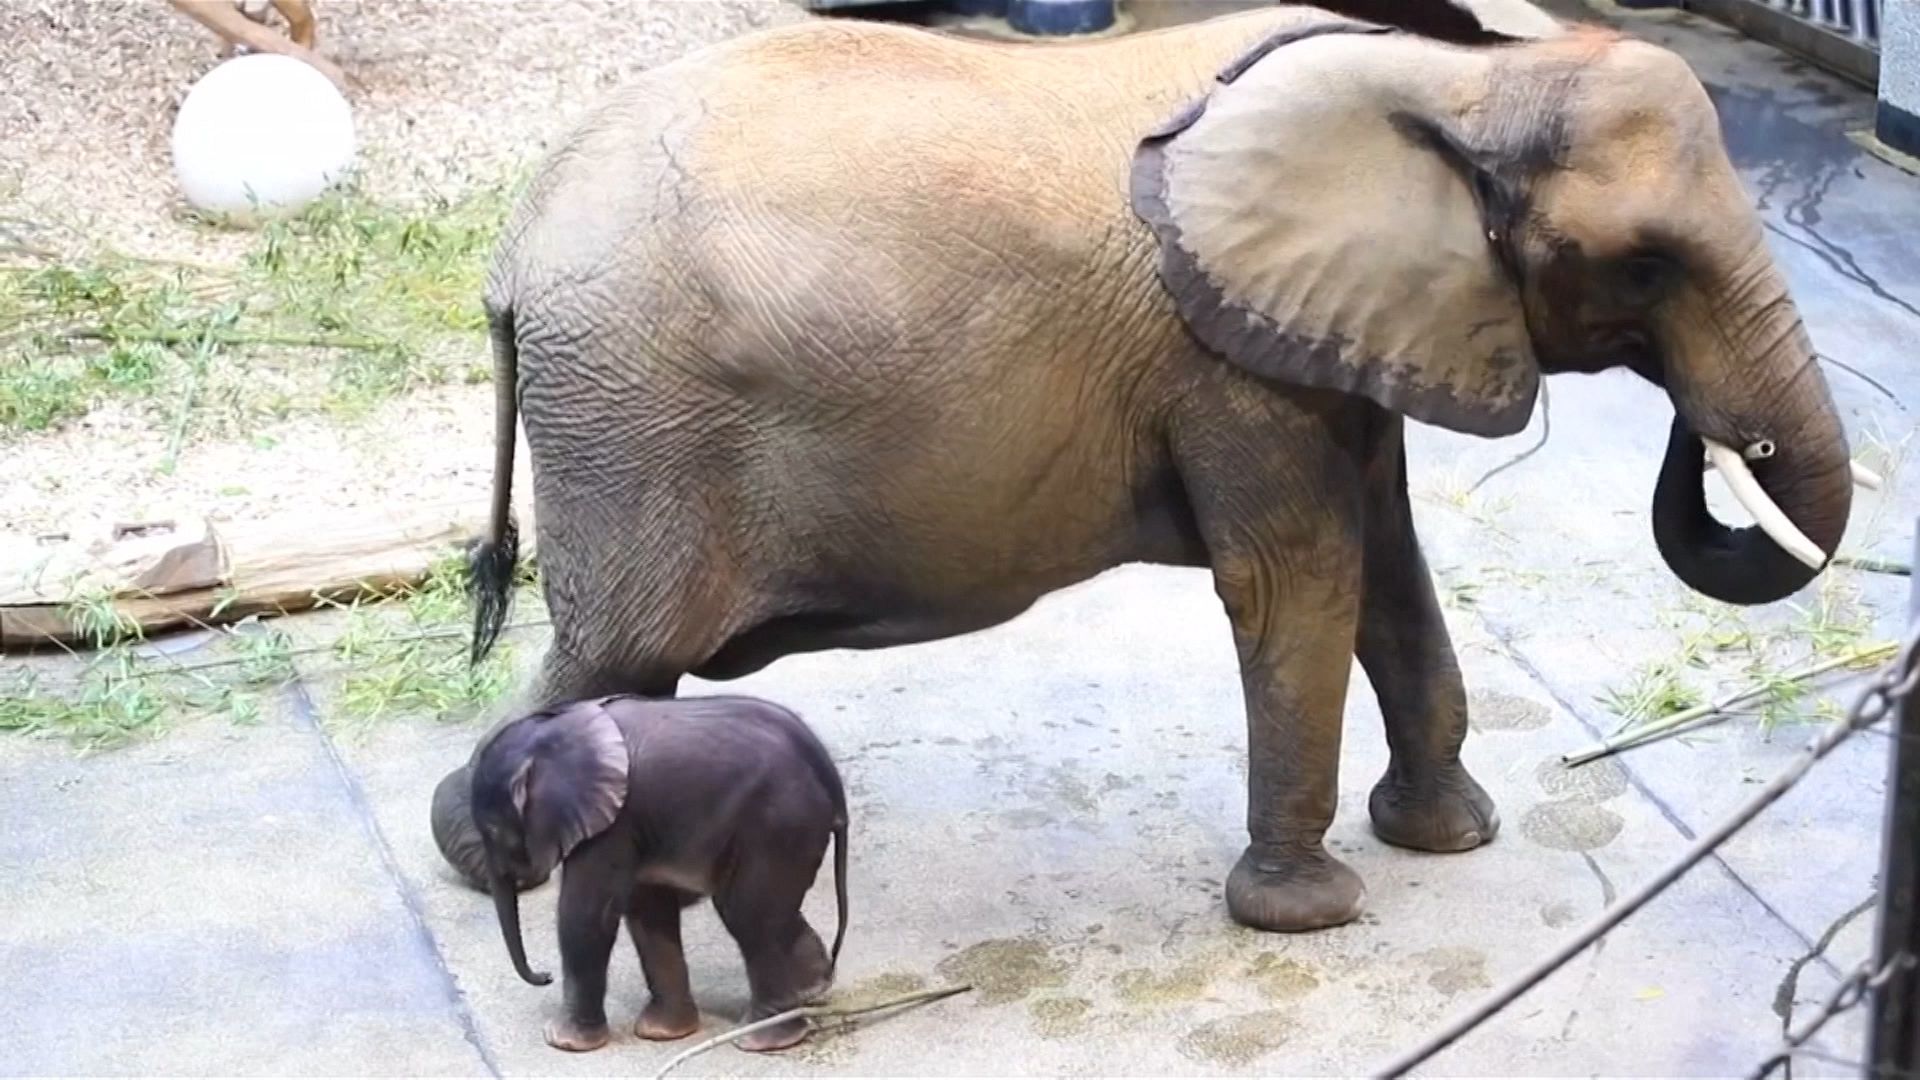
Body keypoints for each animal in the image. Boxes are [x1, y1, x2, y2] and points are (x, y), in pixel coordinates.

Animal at [445, 0, 1858, 930]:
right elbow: (1302, 580)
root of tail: (512, 253)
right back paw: (493, 857)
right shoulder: (1227, 359)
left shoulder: (1334, 331)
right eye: (1647, 268)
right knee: (612, 657)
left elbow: (1388, 563)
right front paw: (1312, 912)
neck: (1457, 80)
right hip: (635, 432)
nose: (1725, 445)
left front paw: (1451, 839)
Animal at [449, 687, 848, 1053]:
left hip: (779, 822)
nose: (544, 976)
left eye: (493, 831)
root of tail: (832, 782)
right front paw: (662, 1034)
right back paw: (811, 992)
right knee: (772, 911)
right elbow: (647, 910)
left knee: (748, 914)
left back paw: (760, 1040)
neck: (553, 731)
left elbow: (585, 914)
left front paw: (562, 1041)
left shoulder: (613, 822)